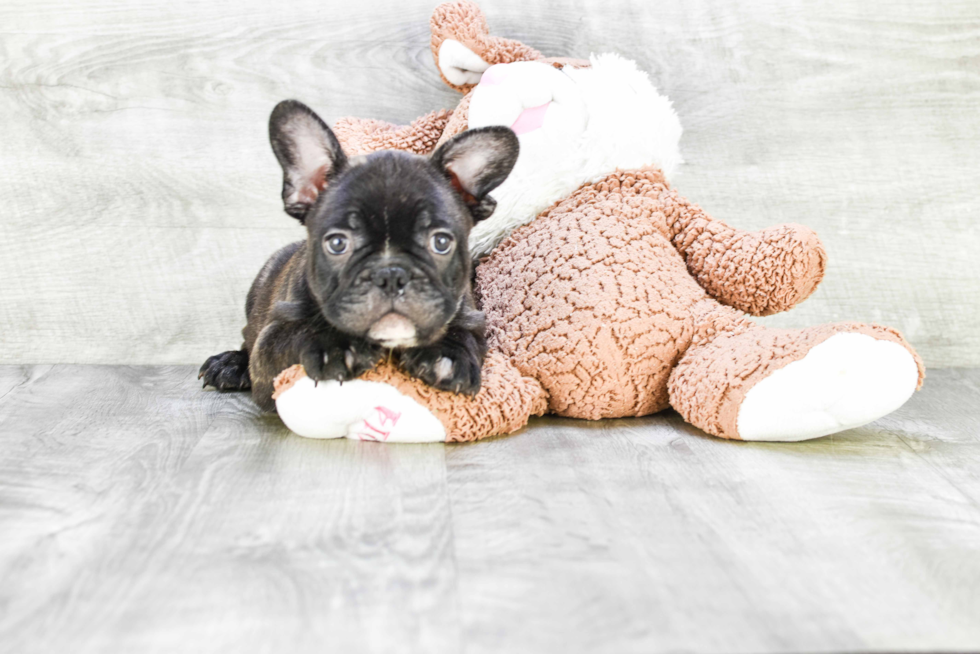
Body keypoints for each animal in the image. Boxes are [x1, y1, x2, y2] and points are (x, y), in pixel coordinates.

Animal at [199, 100, 520, 412]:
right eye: (337, 243)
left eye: (441, 242)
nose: (391, 274)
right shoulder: (269, 348)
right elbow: (296, 331)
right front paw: (337, 345)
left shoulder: (471, 318)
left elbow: (461, 334)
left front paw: (449, 357)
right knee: (246, 339)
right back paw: (229, 364)